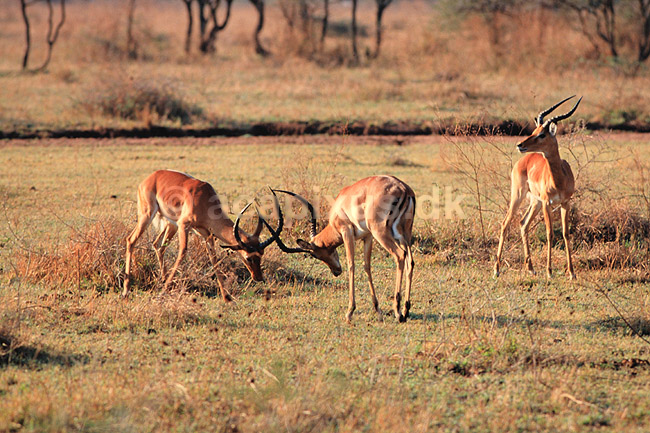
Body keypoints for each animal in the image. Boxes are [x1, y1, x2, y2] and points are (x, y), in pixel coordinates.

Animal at [123, 170, 280, 300]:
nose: (258, 277)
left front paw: (226, 297)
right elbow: (182, 252)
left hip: (170, 224)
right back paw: (126, 291)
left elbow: (214, 258)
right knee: (131, 240)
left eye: (261, 254)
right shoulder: (184, 225)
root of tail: (150, 178)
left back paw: (163, 281)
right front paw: (162, 293)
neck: (204, 199)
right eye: (248, 257)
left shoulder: (206, 234)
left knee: (158, 245)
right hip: (148, 215)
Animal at [266, 176, 416, 323]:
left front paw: (349, 312)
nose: (336, 271)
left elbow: (351, 265)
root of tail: (403, 189)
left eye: (315, 255)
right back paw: (405, 310)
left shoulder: (346, 231)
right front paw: (378, 311)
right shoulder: (367, 236)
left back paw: (397, 312)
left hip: (381, 232)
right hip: (404, 234)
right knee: (410, 261)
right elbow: (367, 266)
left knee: (400, 255)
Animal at [494, 96, 582, 280]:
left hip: (535, 202)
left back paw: (531, 268)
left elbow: (565, 233)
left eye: (542, 134)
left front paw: (571, 273)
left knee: (523, 223)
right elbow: (550, 233)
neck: (559, 180)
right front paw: (549, 271)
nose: (520, 145)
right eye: (534, 131)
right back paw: (496, 270)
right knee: (505, 223)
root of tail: (523, 160)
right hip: (519, 196)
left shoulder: (565, 203)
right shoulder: (548, 203)